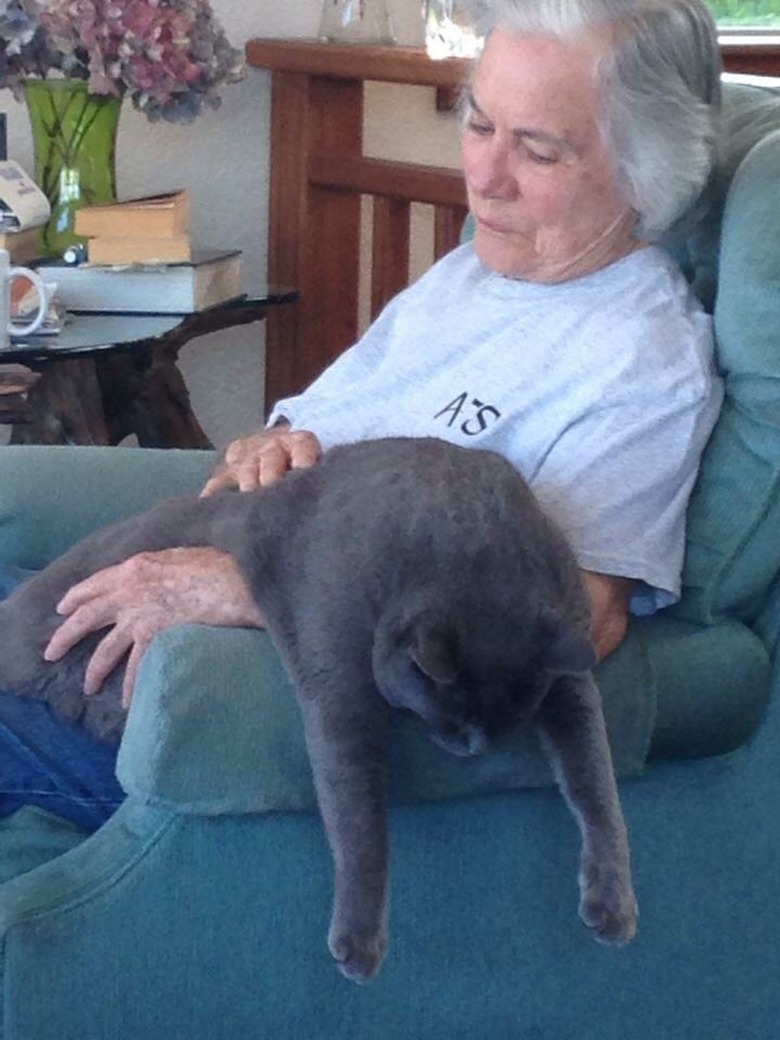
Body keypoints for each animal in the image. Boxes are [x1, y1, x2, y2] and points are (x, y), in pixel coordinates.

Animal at [0, 434, 636, 977]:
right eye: (454, 713)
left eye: (506, 720)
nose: (474, 747)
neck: (476, 541)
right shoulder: (339, 676)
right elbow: (360, 820)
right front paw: (359, 944)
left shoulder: (569, 676)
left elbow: (596, 781)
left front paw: (614, 903)